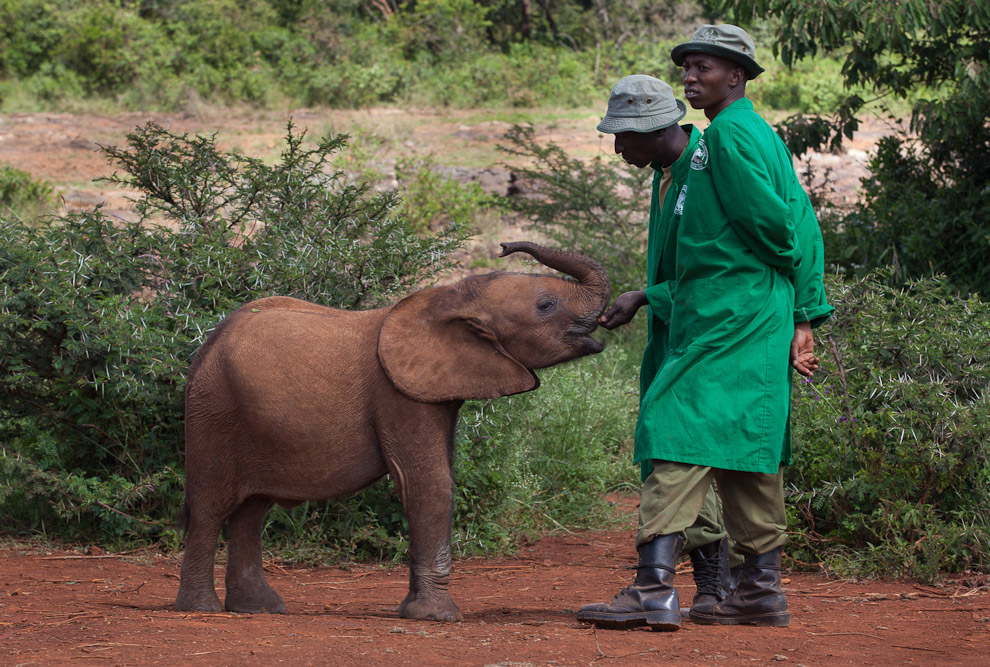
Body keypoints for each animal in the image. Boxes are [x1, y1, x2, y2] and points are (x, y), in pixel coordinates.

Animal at [177, 243, 612, 624]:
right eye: (546, 305)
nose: (506, 247)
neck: (450, 297)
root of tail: (208, 344)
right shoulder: (398, 393)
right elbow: (428, 483)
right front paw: (438, 618)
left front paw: (416, 611)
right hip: (214, 410)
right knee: (210, 506)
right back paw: (202, 609)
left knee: (251, 511)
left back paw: (259, 609)